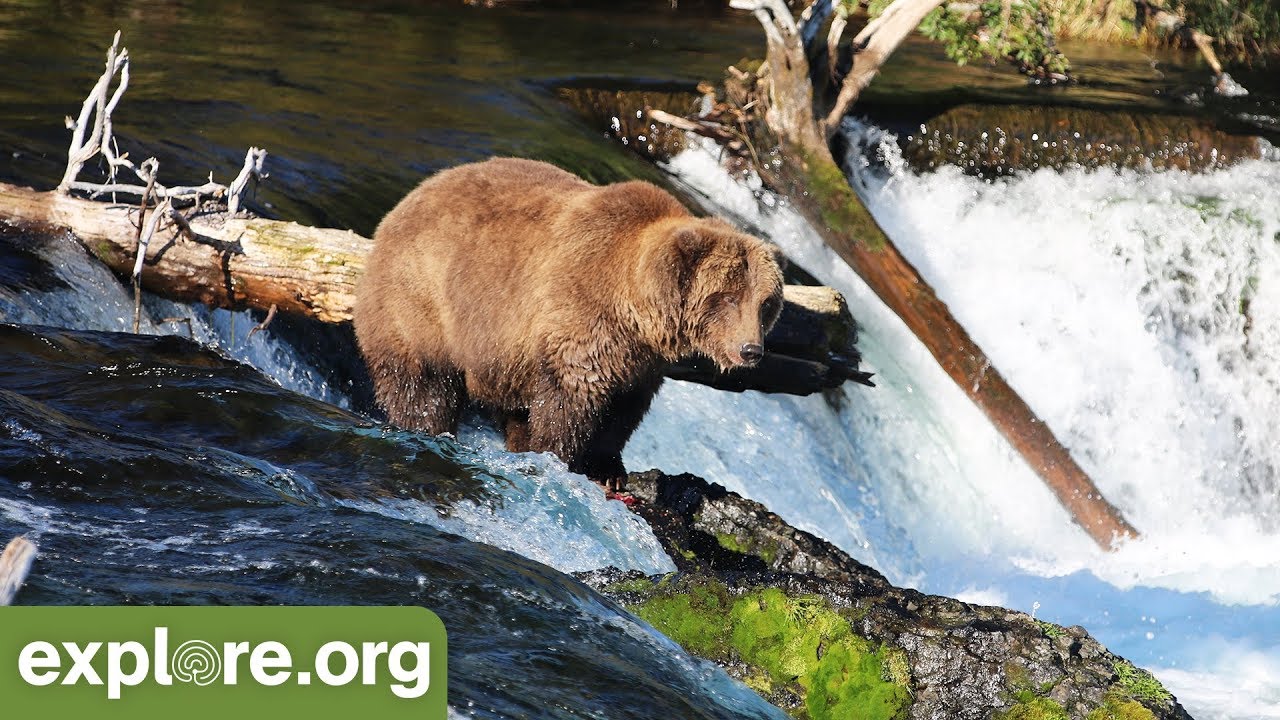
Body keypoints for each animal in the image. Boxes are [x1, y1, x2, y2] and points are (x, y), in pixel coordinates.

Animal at [353, 157, 785, 491]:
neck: (636, 312)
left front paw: (608, 468)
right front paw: (559, 457)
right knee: (423, 384)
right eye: (727, 297)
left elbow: (622, 412)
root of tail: (406, 202)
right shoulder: (581, 316)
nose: (751, 350)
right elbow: (570, 400)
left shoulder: (639, 363)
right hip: (422, 302)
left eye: (765, 304)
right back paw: (428, 428)